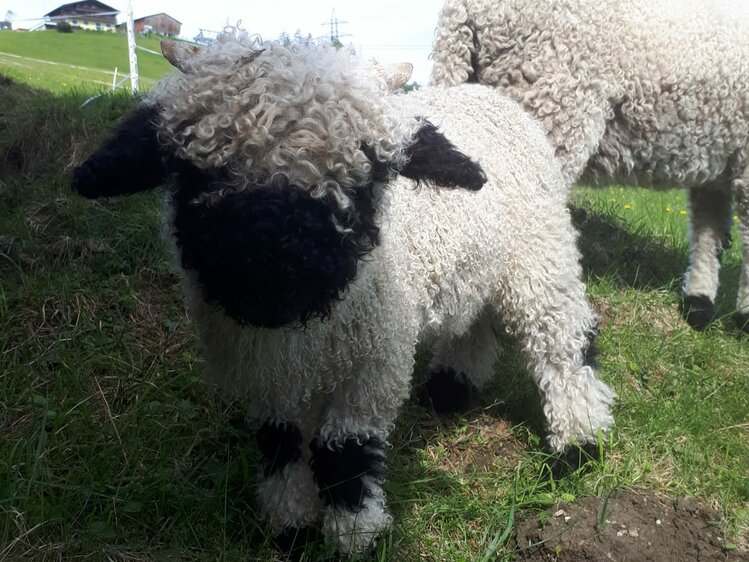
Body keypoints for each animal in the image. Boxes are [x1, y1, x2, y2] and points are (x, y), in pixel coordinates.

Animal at [71, 32, 612, 552]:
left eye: (363, 180)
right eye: (195, 173)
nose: (272, 284)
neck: (297, 332)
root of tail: (489, 94)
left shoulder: (374, 365)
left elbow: (344, 454)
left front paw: (355, 536)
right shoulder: (265, 374)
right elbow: (279, 443)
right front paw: (291, 527)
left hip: (541, 254)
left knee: (563, 342)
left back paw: (579, 443)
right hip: (478, 262)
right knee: (474, 321)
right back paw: (449, 390)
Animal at [430, 0, 748, 330]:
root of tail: (466, 11)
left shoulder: (717, 164)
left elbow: (709, 230)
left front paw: (699, 302)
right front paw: (743, 316)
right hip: (548, 96)